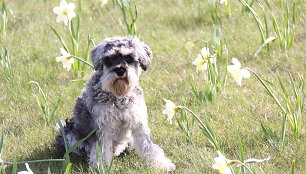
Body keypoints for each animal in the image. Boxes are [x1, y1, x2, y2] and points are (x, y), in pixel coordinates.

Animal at [53, 35, 176, 171]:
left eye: (129, 58)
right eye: (109, 59)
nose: (120, 70)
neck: (118, 95)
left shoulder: (138, 122)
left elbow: (147, 145)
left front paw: (162, 164)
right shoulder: (102, 126)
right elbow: (101, 149)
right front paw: (101, 167)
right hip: (69, 135)